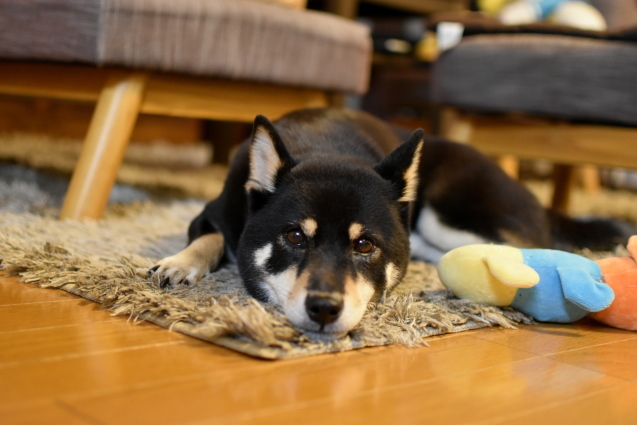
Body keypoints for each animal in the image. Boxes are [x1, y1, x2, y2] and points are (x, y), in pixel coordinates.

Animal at [149, 107, 632, 336]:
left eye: (364, 245)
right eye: (294, 236)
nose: (324, 309)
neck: (322, 145)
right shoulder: (213, 213)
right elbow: (209, 238)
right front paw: (179, 262)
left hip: (449, 211)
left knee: (532, 249)